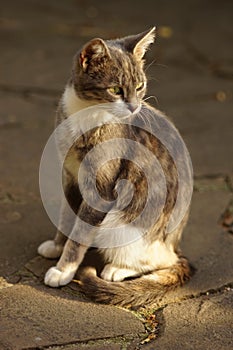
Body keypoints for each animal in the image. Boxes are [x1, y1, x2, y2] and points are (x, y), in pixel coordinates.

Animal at [37, 28, 193, 306]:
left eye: (140, 86)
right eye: (115, 89)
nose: (134, 106)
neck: (88, 116)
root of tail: (176, 245)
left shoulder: (100, 189)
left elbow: (80, 234)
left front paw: (63, 270)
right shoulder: (69, 176)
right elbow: (67, 218)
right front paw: (56, 246)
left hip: (122, 224)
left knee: (162, 261)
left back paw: (117, 269)